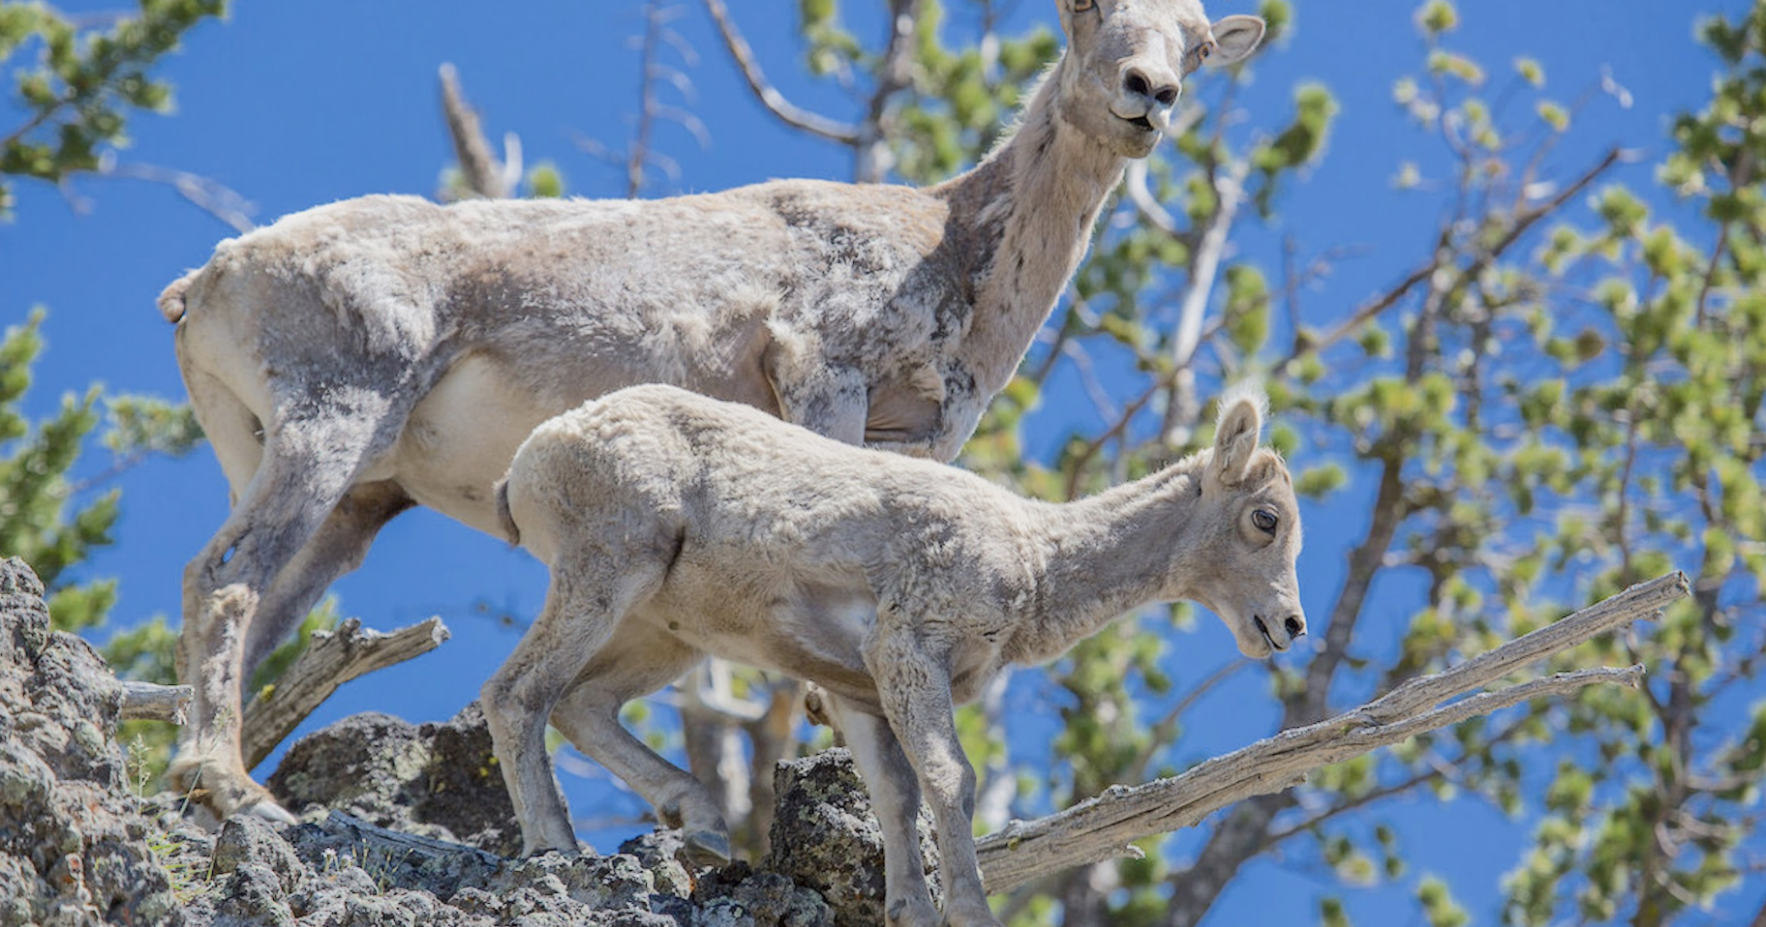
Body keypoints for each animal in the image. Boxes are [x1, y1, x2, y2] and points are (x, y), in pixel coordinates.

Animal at [161, 0, 1268, 822]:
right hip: (331, 421)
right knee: (224, 576)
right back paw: (227, 789)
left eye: (1199, 44)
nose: (1149, 95)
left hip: (348, 498)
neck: (958, 248)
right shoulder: (824, 375)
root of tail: (207, 281)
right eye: (1089, 15)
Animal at [485, 382, 1304, 927]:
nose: (1290, 625)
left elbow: (895, 796)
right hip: (607, 570)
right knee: (517, 694)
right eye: (1265, 518)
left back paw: (706, 826)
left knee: (582, 703)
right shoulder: (909, 647)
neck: (1035, 563)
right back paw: (557, 846)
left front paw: (908, 907)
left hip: (665, 632)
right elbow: (951, 779)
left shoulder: (860, 690)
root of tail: (528, 459)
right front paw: (969, 912)